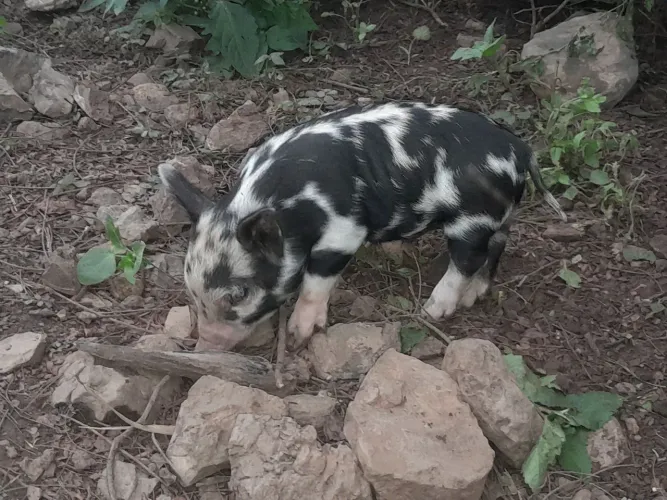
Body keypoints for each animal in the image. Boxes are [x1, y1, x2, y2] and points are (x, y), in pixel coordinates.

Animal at [158, 101, 565, 350]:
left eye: (238, 294)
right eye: (191, 291)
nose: (206, 344)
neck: (283, 202)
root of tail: (518, 149)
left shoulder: (343, 230)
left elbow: (315, 282)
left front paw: (300, 334)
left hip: (472, 218)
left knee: (467, 259)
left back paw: (433, 310)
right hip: (498, 216)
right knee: (497, 245)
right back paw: (472, 295)